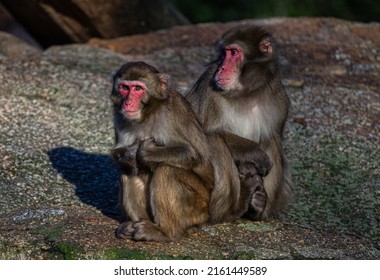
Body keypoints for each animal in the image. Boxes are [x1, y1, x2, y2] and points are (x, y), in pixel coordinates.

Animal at [186, 25, 290, 220]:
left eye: (234, 52)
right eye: (224, 53)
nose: (221, 67)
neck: (246, 94)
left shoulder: (279, 101)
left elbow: (273, 138)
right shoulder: (209, 92)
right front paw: (254, 152)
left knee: (271, 140)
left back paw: (257, 208)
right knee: (213, 140)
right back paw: (228, 209)